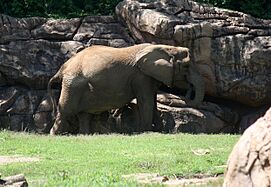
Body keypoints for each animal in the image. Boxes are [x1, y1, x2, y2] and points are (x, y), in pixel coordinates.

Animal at [47, 43, 205, 134]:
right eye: (186, 66)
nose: (189, 88)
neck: (167, 47)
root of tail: (63, 68)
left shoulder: (149, 76)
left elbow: (152, 102)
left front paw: (159, 131)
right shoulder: (141, 76)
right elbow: (146, 101)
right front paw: (146, 131)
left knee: (84, 115)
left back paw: (85, 135)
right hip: (73, 84)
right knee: (66, 110)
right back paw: (54, 135)